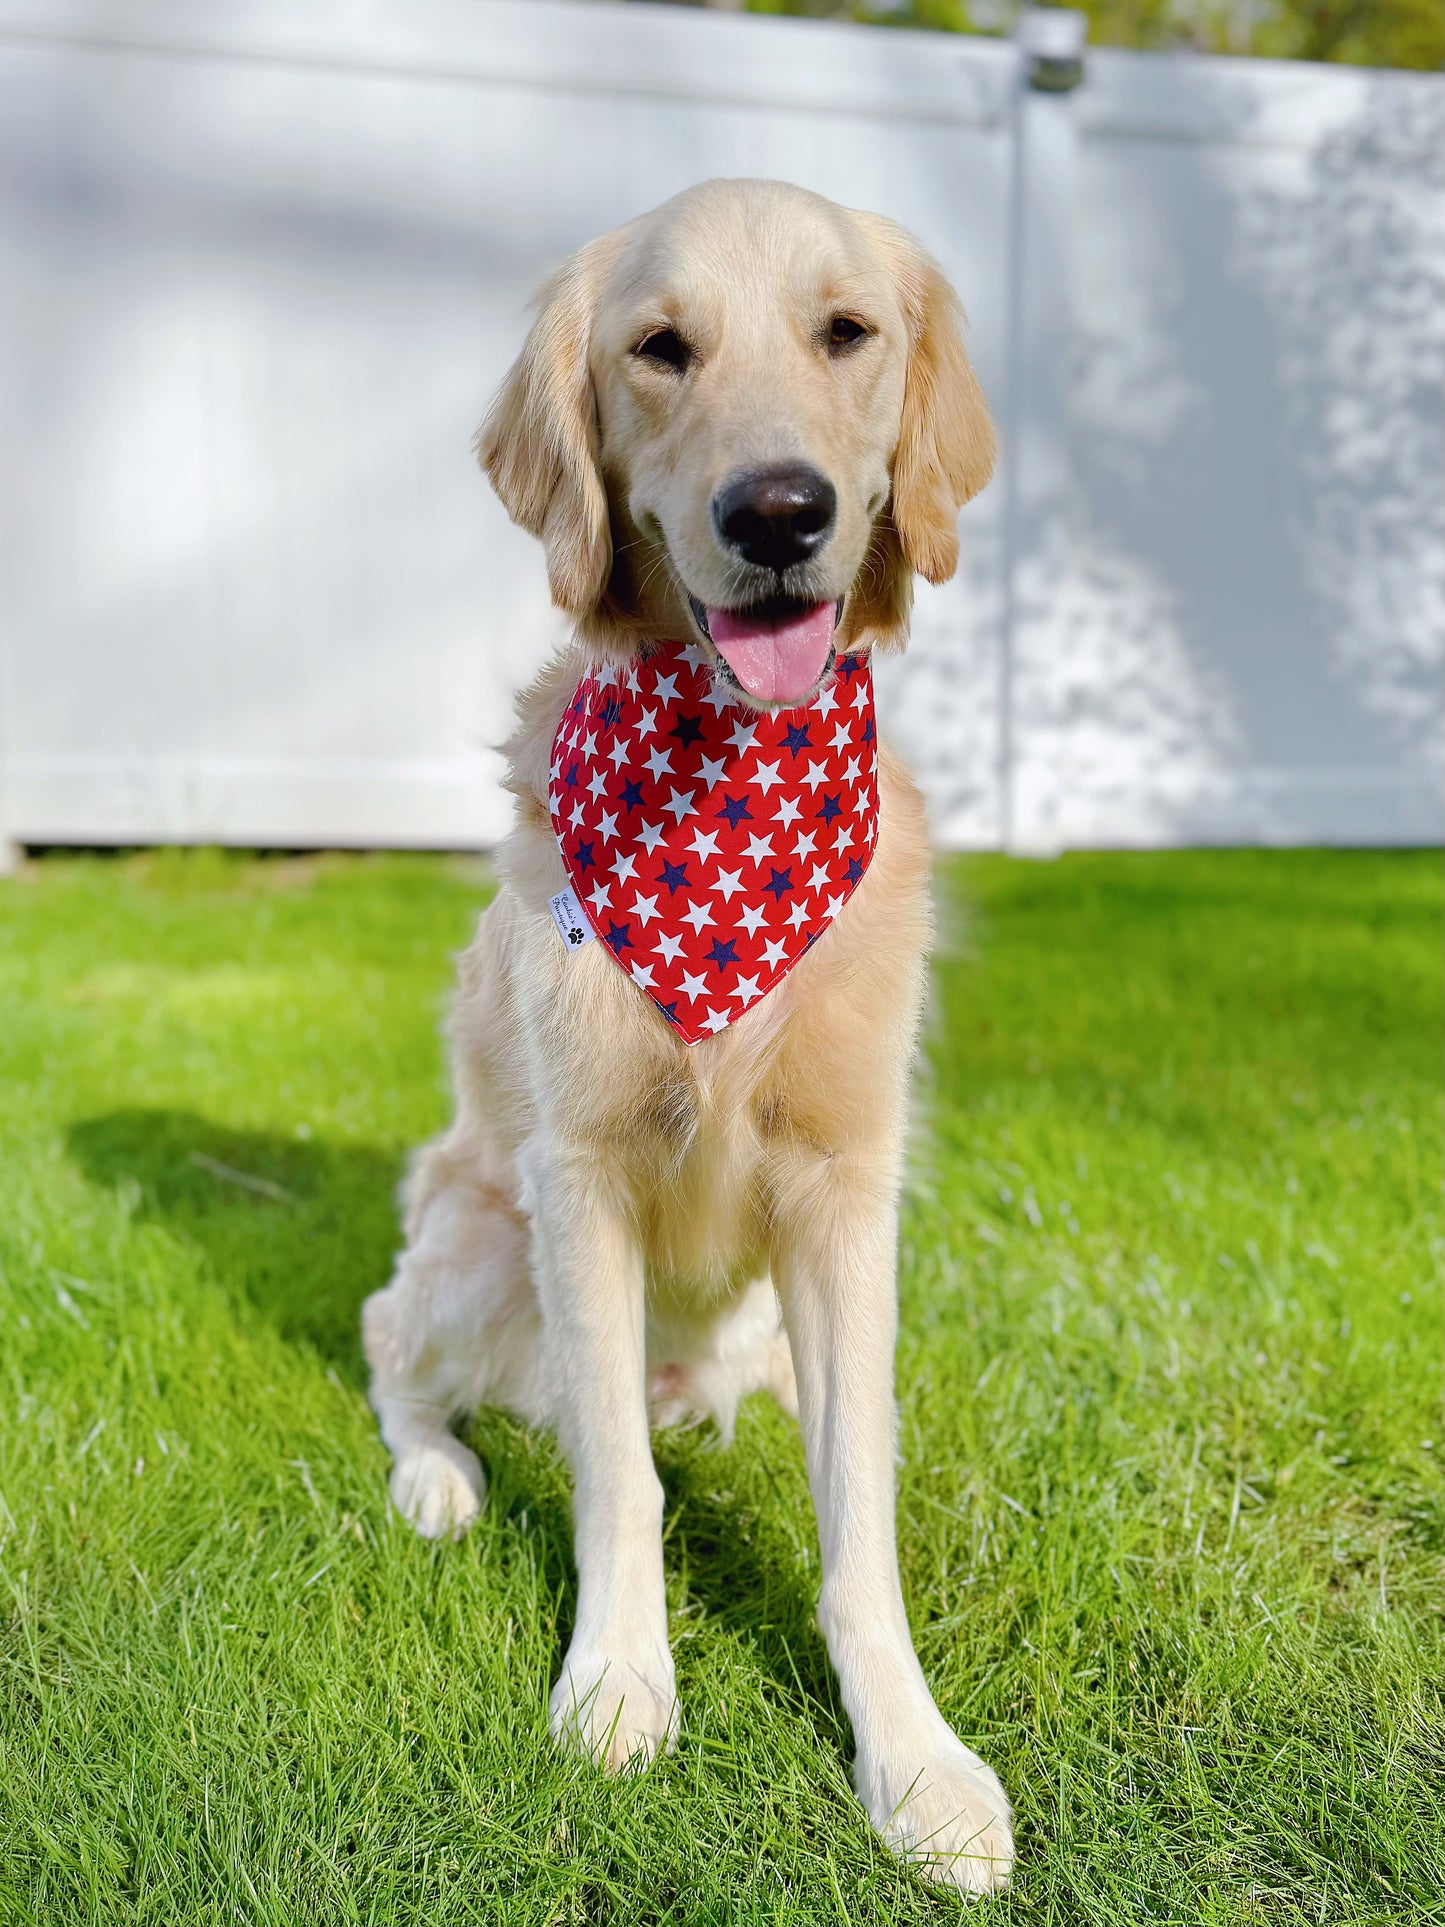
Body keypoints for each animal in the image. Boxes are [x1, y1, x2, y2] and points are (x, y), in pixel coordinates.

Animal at [360, 173, 1009, 1888]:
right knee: (395, 1344)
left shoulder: (845, 1199)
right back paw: (439, 1474)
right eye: (661, 348)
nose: (778, 511)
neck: (731, 774)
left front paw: (914, 1759)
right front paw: (618, 1682)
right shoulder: (579, 1179)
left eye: (846, 331)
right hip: (479, 1234)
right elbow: (616, 1486)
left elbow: (859, 1518)